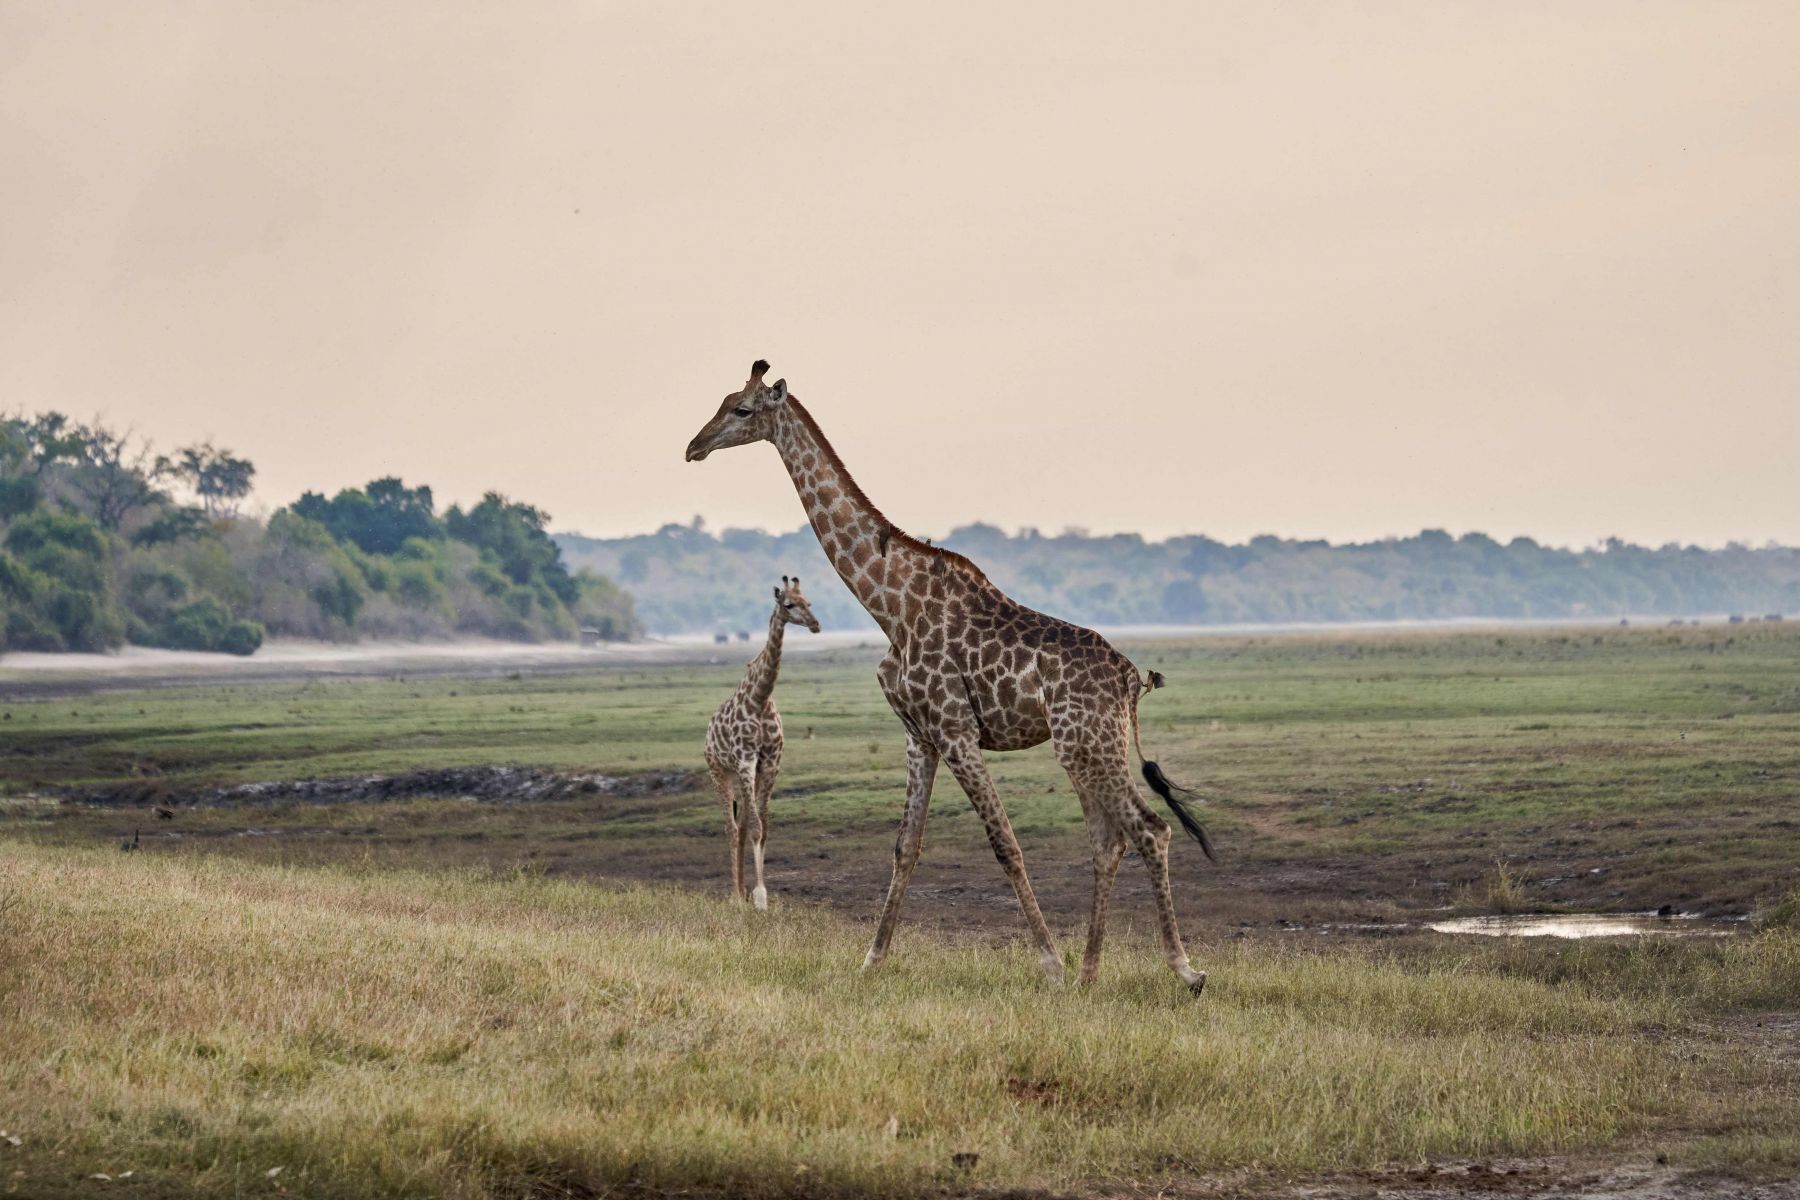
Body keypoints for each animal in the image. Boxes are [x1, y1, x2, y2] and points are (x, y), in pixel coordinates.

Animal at [705, 575, 820, 906]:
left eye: (809, 601)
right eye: (789, 604)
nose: (815, 624)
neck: (760, 698)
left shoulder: (769, 763)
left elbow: (763, 828)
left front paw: (758, 892)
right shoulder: (745, 759)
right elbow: (755, 828)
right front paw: (759, 896)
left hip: (745, 774)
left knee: (742, 824)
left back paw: (741, 891)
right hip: (720, 771)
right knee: (731, 828)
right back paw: (735, 894)